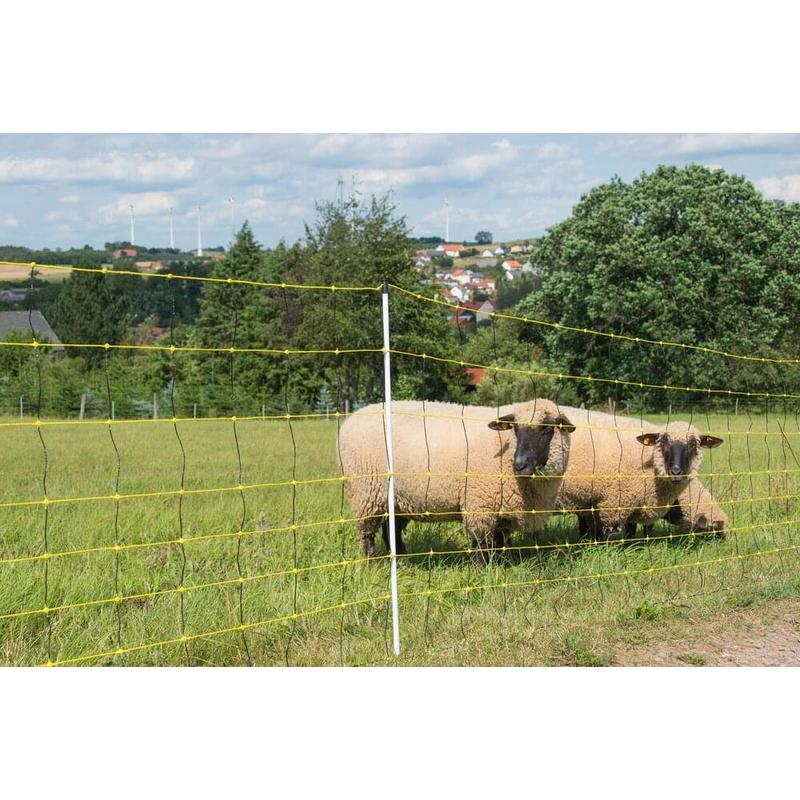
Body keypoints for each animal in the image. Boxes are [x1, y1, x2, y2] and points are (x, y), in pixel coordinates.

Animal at [337, 399, 575, 565]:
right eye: (515, 427)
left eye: (546, 427)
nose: (520, 465)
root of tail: (351, 418)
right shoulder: (480, 504)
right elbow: (483, 544)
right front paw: (483, 572)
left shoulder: (501, 508)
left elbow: (500, 542)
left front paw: (502, 567)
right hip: (366, 492)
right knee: (367, 532)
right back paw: (373, 563)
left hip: (397, 498)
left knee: (390, 530)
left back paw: (402, 562)